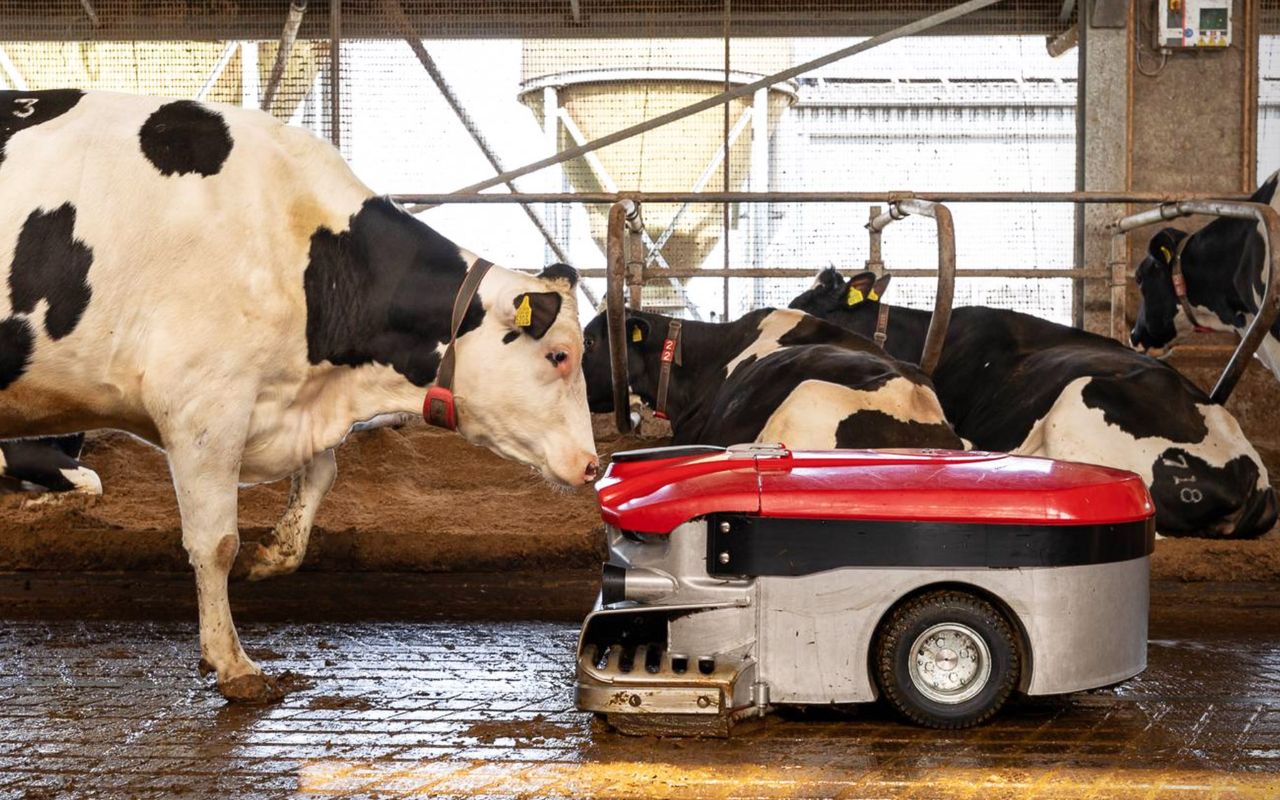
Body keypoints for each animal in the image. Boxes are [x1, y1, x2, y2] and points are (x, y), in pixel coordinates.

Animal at [0, 89, 598, 701]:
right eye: (559, 355)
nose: (593, 464)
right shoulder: (202, 404)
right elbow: (216, 542)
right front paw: (232, 663)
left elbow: (321, 476)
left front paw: (272, 556)